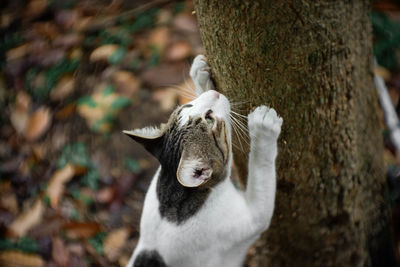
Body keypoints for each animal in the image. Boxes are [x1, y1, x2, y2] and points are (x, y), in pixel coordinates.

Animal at [123, 55, 282, 267]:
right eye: (209, 120)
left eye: (188, 106)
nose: (215, 93)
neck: (174, 192)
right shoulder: (248, 221)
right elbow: (261, 173)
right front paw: (263, 128)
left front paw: (200, 75)